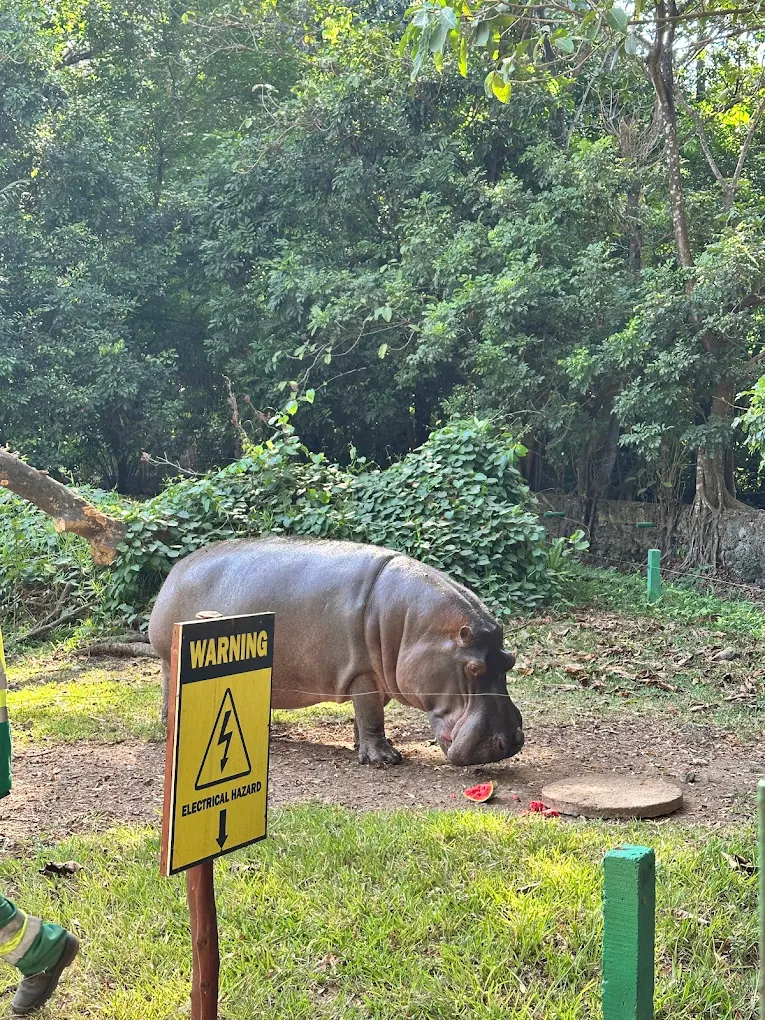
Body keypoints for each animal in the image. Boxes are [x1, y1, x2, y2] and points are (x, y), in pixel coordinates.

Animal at [148, 537, 524, 766]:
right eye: (473, 668)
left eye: (510, 660)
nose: (507, 743)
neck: (416, 626)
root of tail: (176, 569)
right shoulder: (363, 673)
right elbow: (371, 714)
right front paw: (385, 759)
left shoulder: (374, 675)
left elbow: (368, 715)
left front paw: (364, 748)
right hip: (169, 659)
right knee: (168, 690)